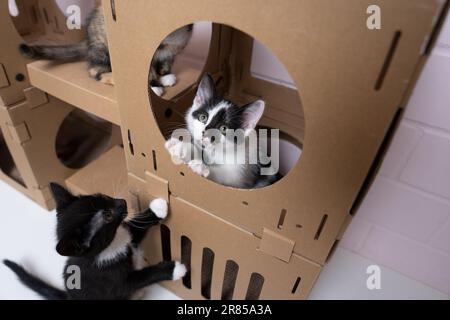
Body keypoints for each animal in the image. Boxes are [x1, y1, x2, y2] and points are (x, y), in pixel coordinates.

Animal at [2, 184, 185, 298]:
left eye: (102, 196)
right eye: (108, 216)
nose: (122, 202)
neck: (113, 245)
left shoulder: (128, 238)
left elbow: (135, 228)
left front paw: (157, 208)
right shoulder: (115, 282)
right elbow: (143, 276)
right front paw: (174, 269)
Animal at [19, 5, 192, 95]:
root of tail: (88, 41)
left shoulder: (170, 51)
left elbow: (163, 66)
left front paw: (164, 77)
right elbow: (147, 73)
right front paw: (154, 87)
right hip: (103, 47)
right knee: (96, 72)